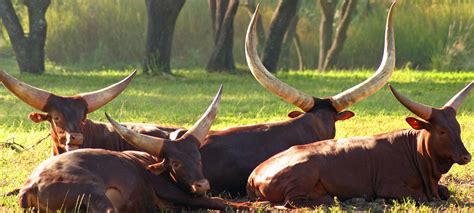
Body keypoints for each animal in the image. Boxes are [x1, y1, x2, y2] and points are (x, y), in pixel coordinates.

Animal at [17, 86, 248, 211]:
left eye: (199, 157)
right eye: (175, 163)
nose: (202, 184)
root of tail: (30, 186)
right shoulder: (174, 192)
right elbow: (218, 201)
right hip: (92, 191)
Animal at [246, 81, 472, 206]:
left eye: (459, 128)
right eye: (442, 131)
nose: (466, 156)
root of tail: (255, 174)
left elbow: (446, 191)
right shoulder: (390, 186)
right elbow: (422, 197)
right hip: (304, 175)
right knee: (294, 201)